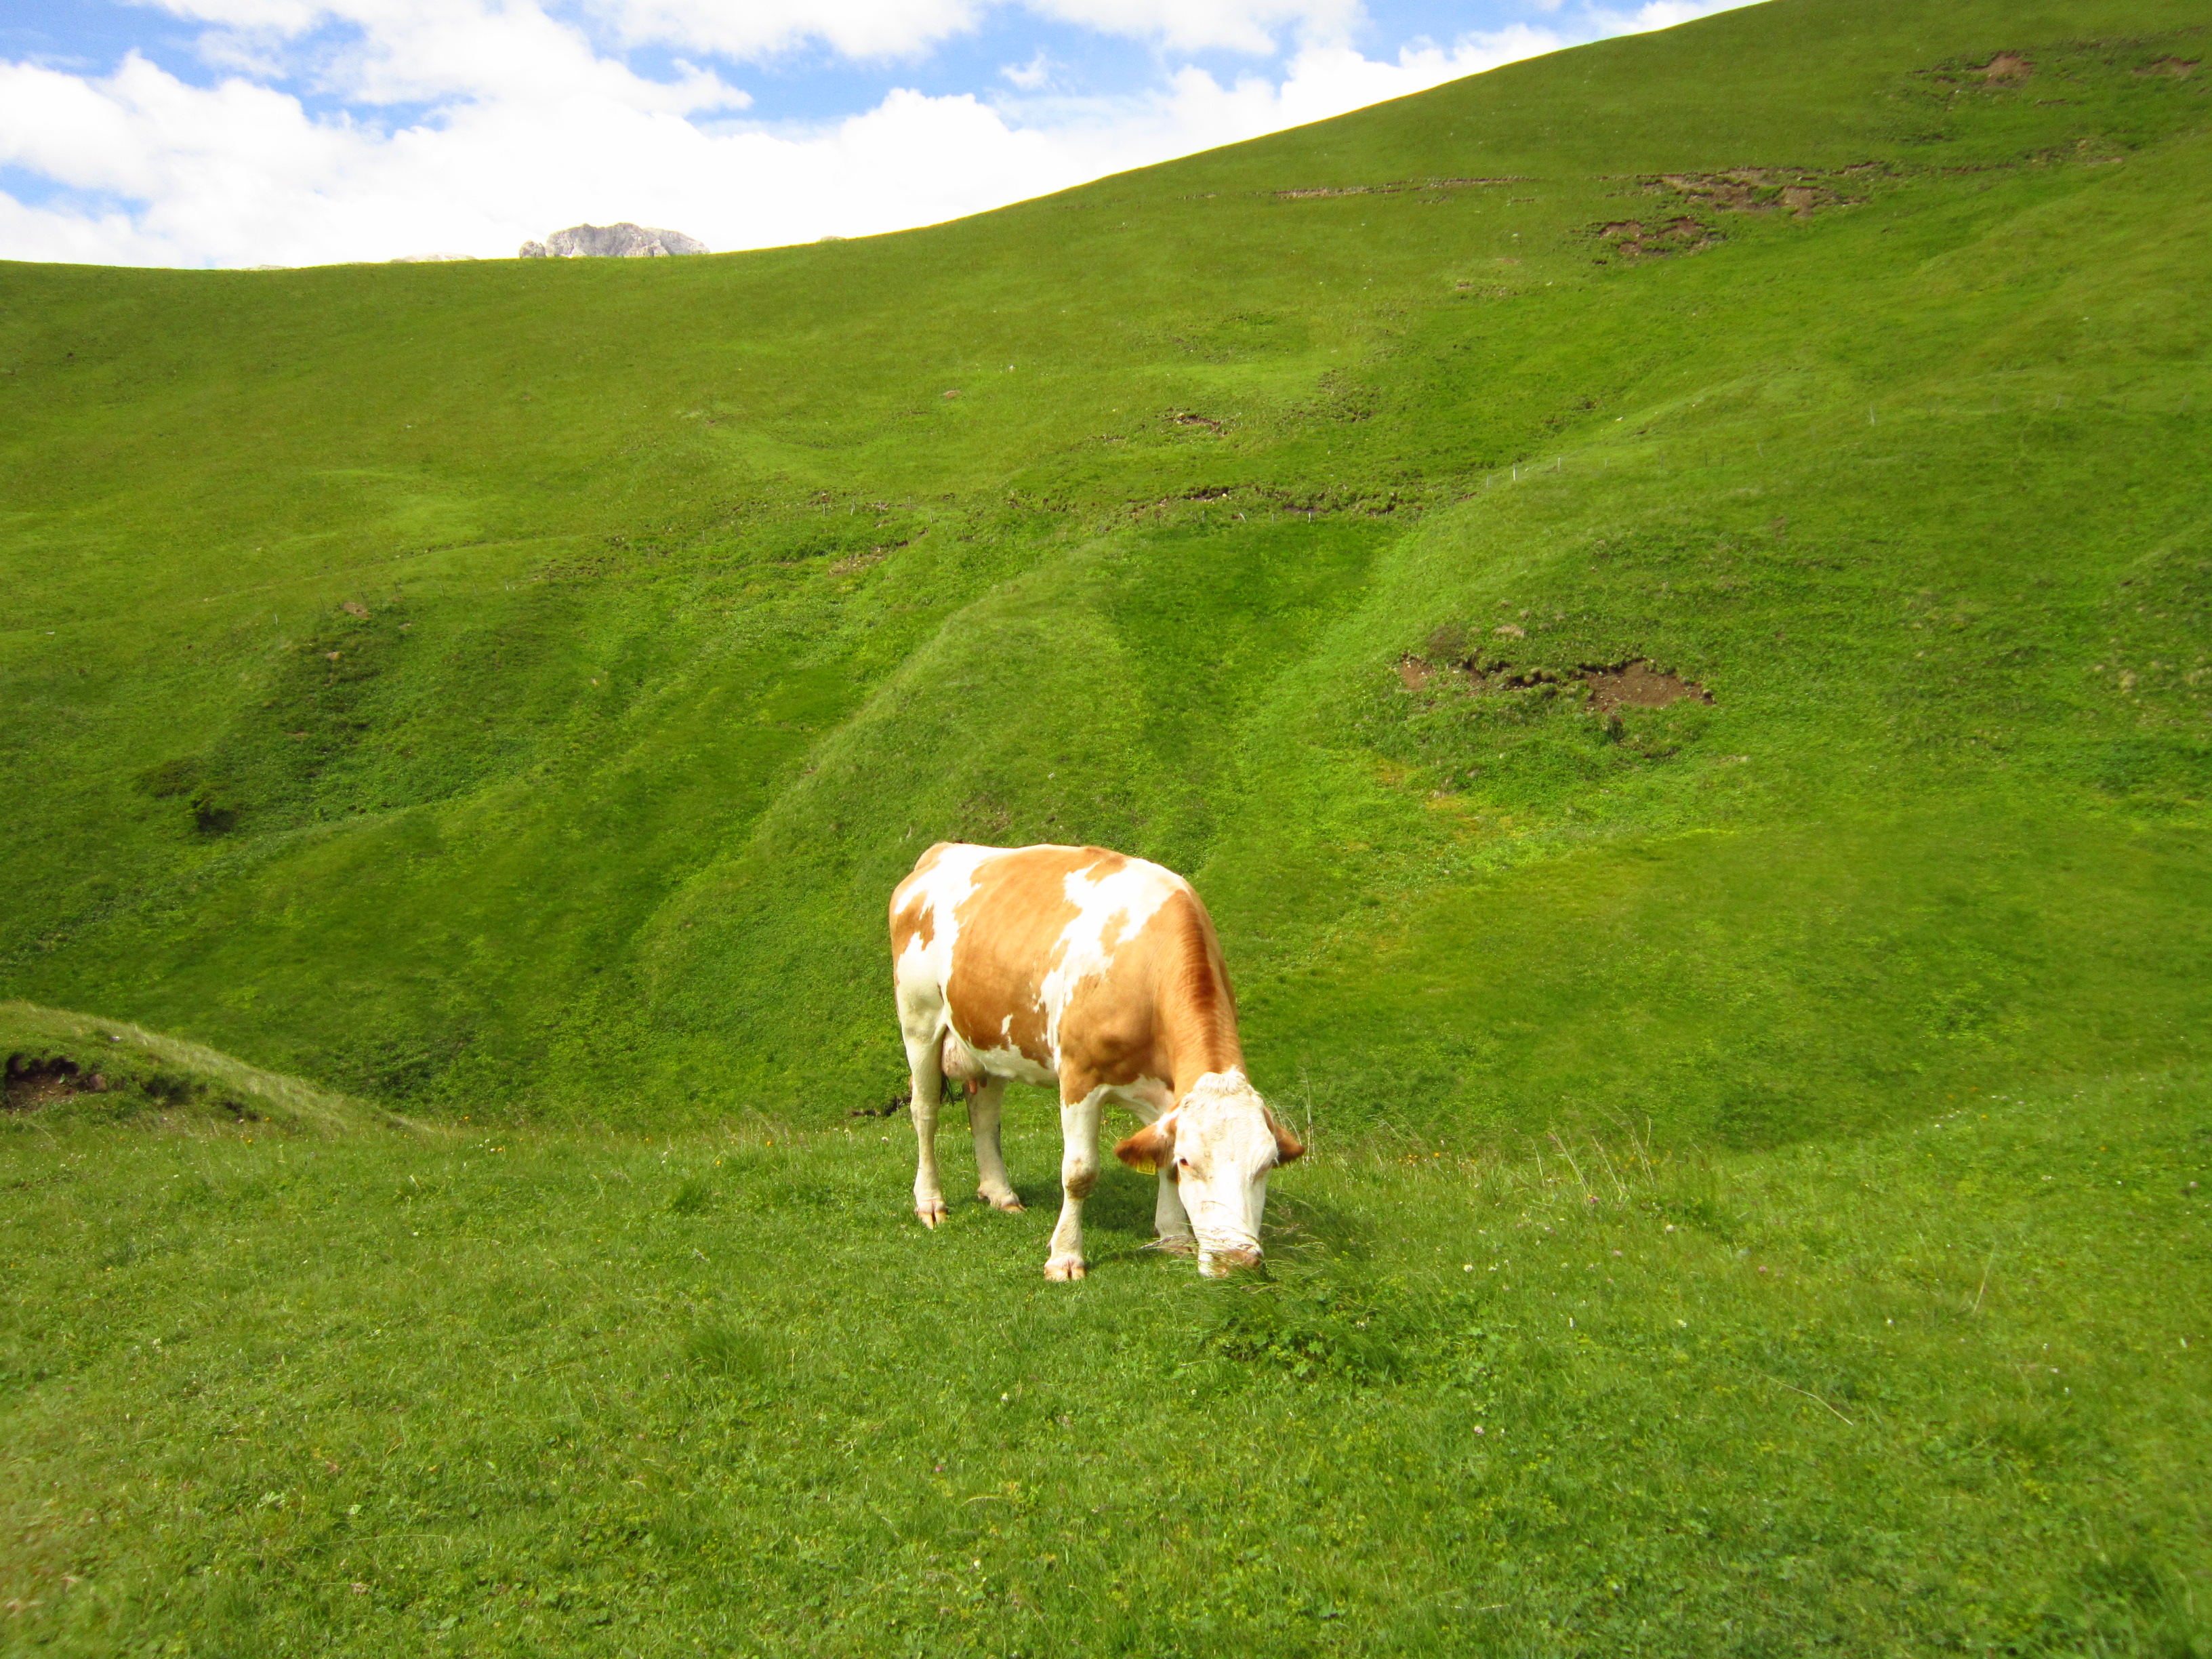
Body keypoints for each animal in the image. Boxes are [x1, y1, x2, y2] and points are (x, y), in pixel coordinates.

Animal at [889, 844, 1300, 1283]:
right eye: (1190, 1161)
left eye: (1267, 1165)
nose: (1236, 1261)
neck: (1147, 968)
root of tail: (944, 850)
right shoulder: (1079, 1078)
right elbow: (1079, 1173)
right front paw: (1065, 1256)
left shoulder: (1166, 1095)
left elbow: (1159, 1161)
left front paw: (1174, 1237)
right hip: (918, 1022)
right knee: (925, 1113)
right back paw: (930, 1202)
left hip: (990, 1037)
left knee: (983, 1113)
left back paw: (1001, 1194)